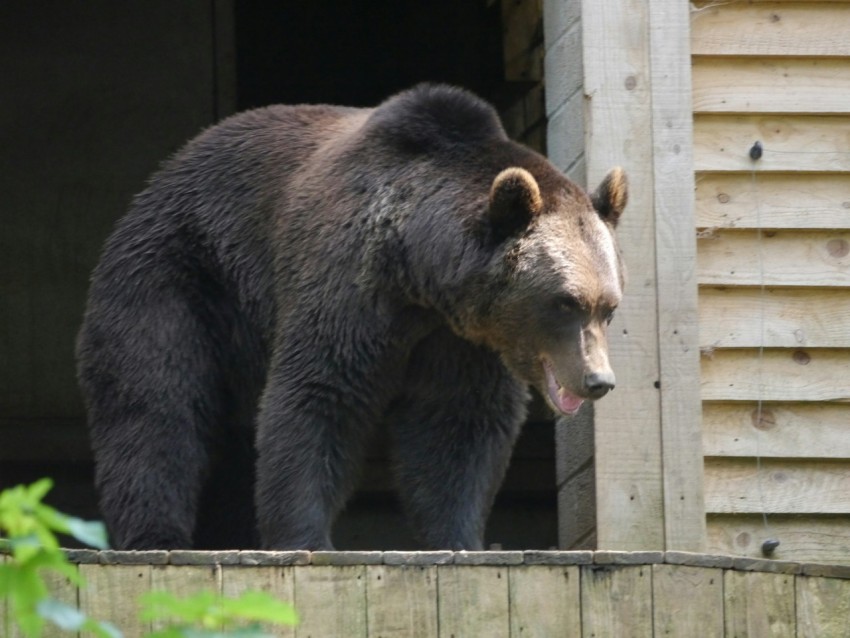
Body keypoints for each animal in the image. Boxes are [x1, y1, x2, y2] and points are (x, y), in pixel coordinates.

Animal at [76, 84, 627, 551]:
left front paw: (461, 538)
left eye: (609, 306)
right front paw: (304, 539)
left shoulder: (461, 339)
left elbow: (457, 424)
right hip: (180, 275)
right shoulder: (349, 284)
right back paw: (155, 535)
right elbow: (320, 395)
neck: (420, 271)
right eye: (565, 302)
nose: (598, 380)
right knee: (156, 401)